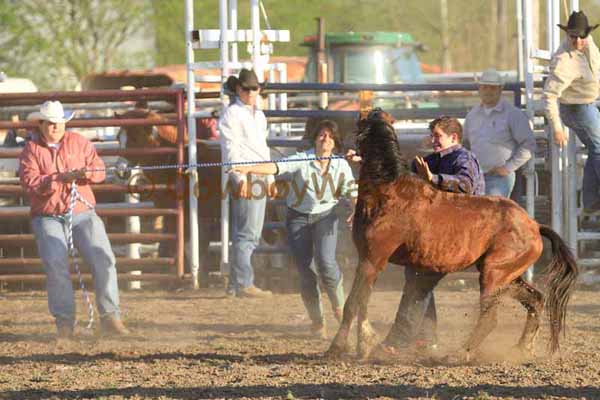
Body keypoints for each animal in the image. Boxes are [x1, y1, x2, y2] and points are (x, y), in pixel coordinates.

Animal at [326, 115, 580, 360]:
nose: (341, 146)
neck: (389, 194)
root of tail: (534, 225)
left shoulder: (372, 260)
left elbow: (354, 303)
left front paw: (341, 347)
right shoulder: (368, 260)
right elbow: (360, 303)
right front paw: (361, 344)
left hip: (493, 275)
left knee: (490, 318)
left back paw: (460, 354)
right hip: (508, 276)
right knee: (536, 300)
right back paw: (521, 348)